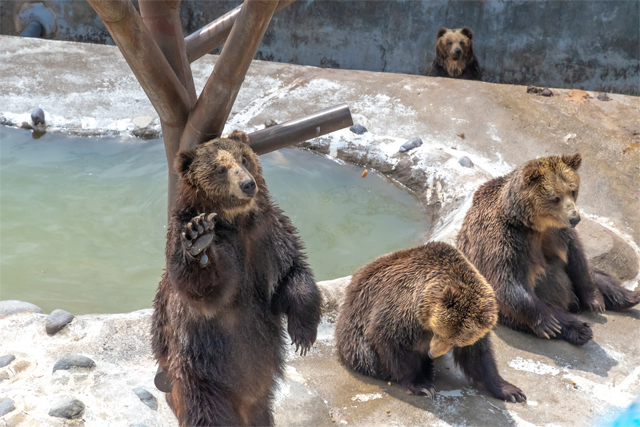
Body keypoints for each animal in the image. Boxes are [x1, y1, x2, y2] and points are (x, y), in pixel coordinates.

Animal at [152, 131, 322, 427]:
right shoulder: (202, 246)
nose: (247, 184)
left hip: (259, 396)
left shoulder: (269, 235)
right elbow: (203, 291)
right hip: (199, 375)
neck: (236, 221)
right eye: (220, 168)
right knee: (207, 413)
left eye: (243, 158)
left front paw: (303, 335)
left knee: (262, 412)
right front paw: (199, 239)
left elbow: (292, 273)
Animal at [336, 242, 524, 402]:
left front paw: (511, 391)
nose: (432, 353)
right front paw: (422, 386)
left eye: (455, 342)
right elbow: (390, 341)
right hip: (354, 334)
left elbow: (477, 356)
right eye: (439, 333)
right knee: (366, 357)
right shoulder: (401, 308)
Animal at [458, 154, 636, 348]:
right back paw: (577, 329)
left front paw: (596, 301)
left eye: (573, 190)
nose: (575, 218)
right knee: (554, 314)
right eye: (555, 197)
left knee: (599, 277)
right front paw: (549, 322)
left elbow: (577, 260)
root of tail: (572, 303)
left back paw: (630, 297)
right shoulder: (503, 239)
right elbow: (506, 282)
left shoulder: (559, 233)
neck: (533, 223)